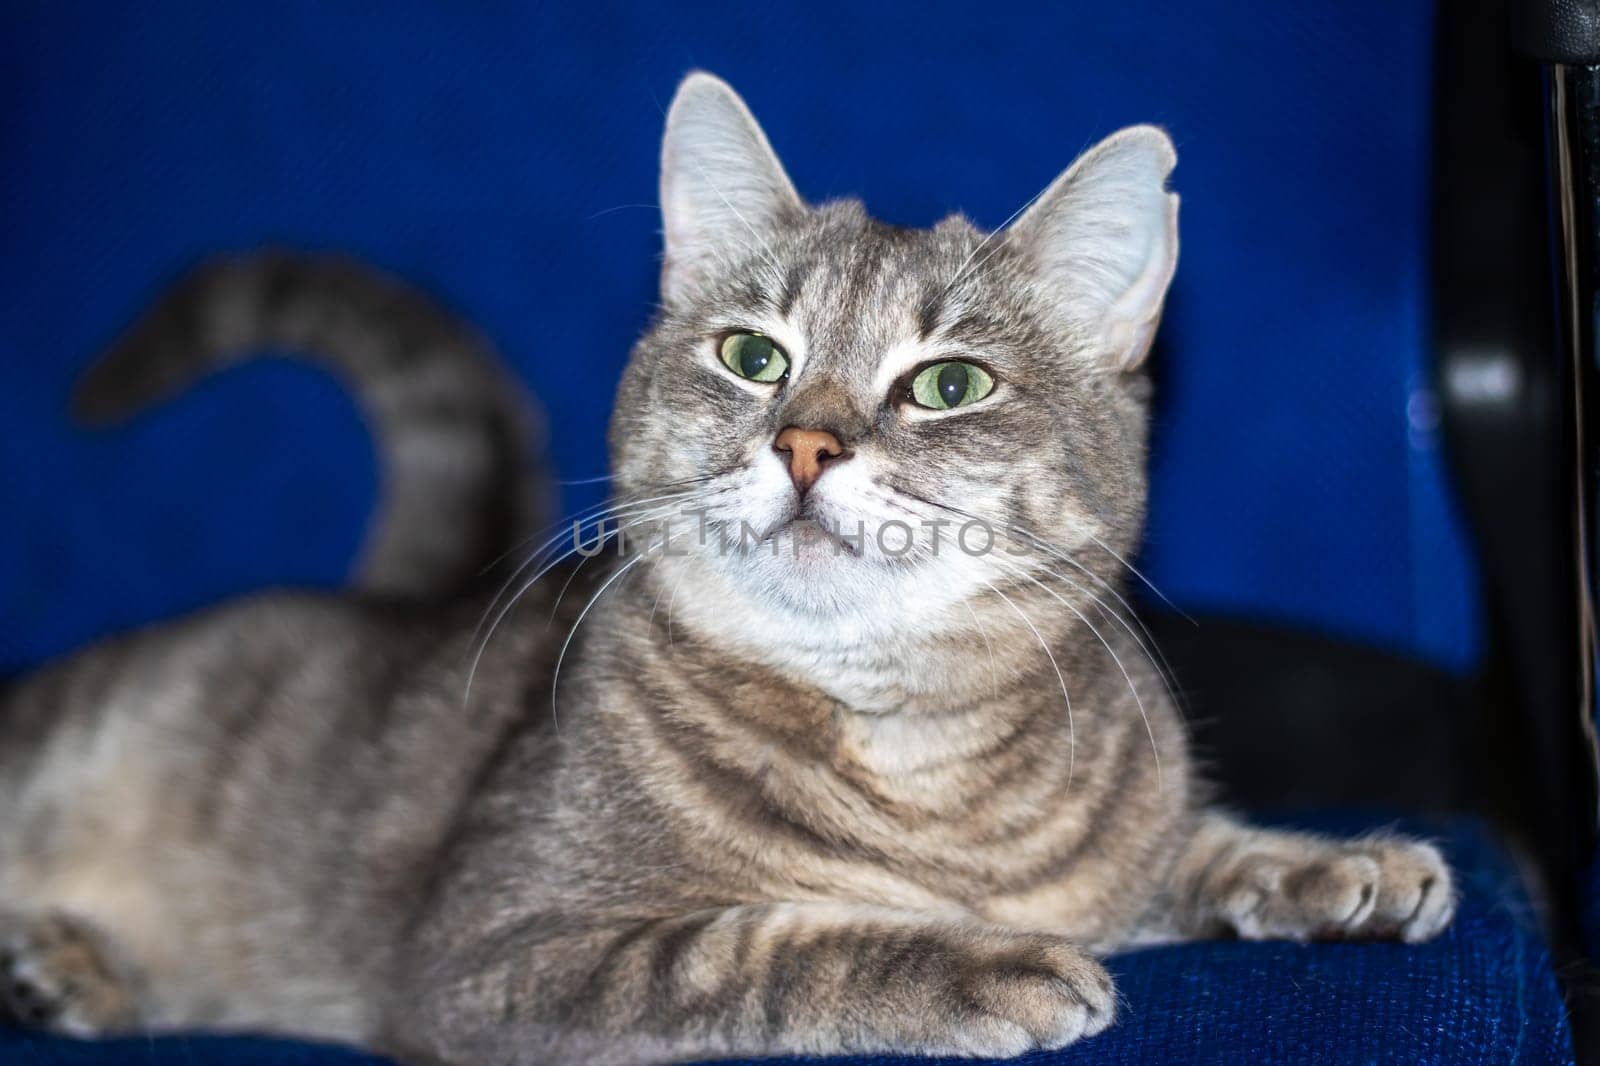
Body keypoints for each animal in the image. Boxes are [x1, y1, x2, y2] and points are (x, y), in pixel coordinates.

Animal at [0, 74, 1452, 1062]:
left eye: (951, 383)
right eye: (754, 355)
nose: (805, 440)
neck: (916, 757)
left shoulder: (1131, 843)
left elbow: (1193, 849)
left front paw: (1335, 865)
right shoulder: (494, 951)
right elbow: (750, 944)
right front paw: (976, 964)